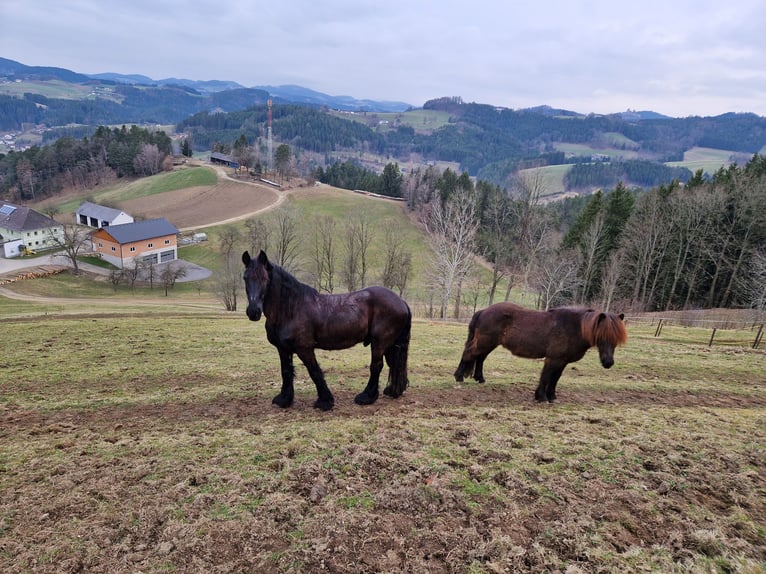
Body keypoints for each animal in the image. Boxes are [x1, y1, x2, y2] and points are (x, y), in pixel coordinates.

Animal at [244, 251, 414, 410]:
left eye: (265, 279)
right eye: (245, 278)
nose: (253, 312)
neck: (291, 308)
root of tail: (401, 301)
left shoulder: (304, 348)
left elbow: (314, 372)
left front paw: (324, 401)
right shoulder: (283, 349)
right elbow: (286, 371)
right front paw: (284, 400)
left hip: (379, 343)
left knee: (376, 366)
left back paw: (366, 397)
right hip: (390, 344)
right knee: (394, 364)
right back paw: (392, 391)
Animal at [452, 304, 628, 402]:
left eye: (616, 340)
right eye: (602, 336)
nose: (608, 363)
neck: (572, 328)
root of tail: (484, 310)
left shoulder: (562, 361)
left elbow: (555, 379)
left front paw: (552, 397)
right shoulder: (553, 359)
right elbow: (546, 377)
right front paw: (541, 397)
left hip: (489, 343)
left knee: (480, 358)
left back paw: (479, 378)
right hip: (485, 342)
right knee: (469, 353)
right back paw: (459, 377)